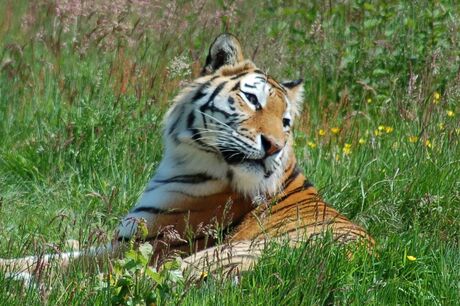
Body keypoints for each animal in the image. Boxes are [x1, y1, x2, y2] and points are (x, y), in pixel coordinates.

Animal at [0, 33, 374, 280]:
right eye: (253, 100)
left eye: (285, 122)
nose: (275, 146)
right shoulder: (121, 240)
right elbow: (57, 250)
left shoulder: (143, 245)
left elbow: (63, 263)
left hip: (226, 253)